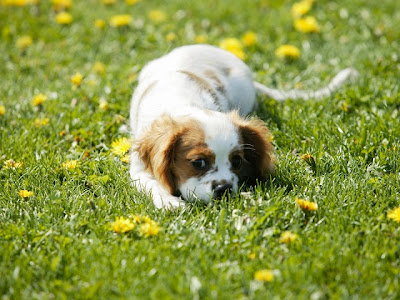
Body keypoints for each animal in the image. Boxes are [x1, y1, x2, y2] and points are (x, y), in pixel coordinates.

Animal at [128, 44, 356, 209]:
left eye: (237, 161)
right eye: (198, 162)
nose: (224, 189)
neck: (185, 103)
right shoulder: (138, 167)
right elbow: (151, 184)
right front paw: (170, 203)